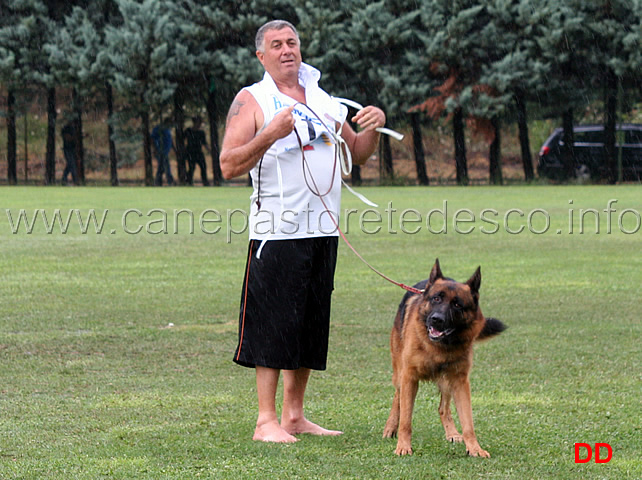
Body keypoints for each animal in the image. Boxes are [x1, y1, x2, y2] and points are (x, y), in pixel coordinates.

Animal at [382, 260, 502, 456]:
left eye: (457, 305)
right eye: (436, 299)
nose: (436, 319)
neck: (438, 348)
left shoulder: (460, 382)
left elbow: (468, 422)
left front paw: (474, 448)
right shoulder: (409, 378)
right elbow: (406, 419)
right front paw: (403, 446)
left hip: (446, 382)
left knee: (443, 408)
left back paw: (452, 433)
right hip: (399, 374)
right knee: (397, 397)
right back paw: (391, 427)